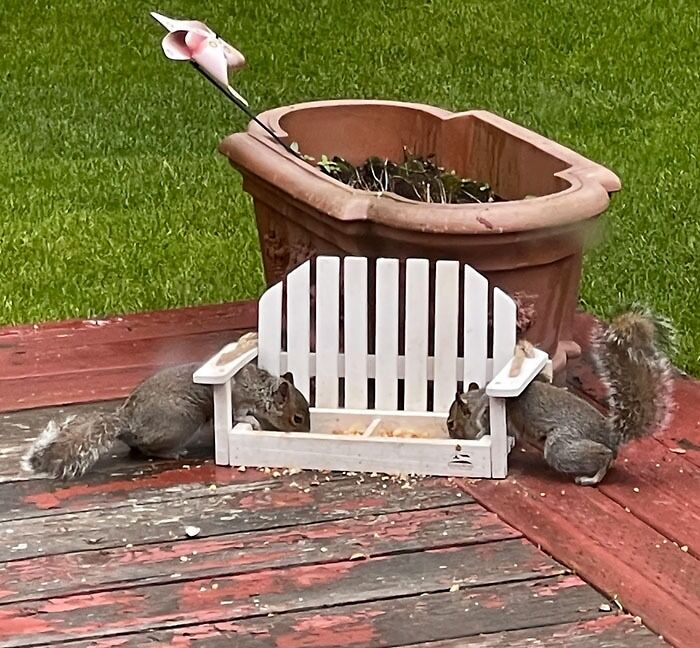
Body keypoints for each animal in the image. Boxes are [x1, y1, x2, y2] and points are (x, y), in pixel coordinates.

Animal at [22, 361, 311, 480]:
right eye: (297, 418)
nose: (307, 432)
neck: (262, 389)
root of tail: (128, 422)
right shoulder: (237, 399)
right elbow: (238, 414)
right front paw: (253, 421)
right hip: (180, 423)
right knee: (147, 449)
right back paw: (172, 453)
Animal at [446, 307, 675, 485]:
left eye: (451, 423)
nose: (452, 436)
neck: (479, 401)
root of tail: (610, 435)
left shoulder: (488, 419)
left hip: (561, 447)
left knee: (604, 456)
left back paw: (590, 478)